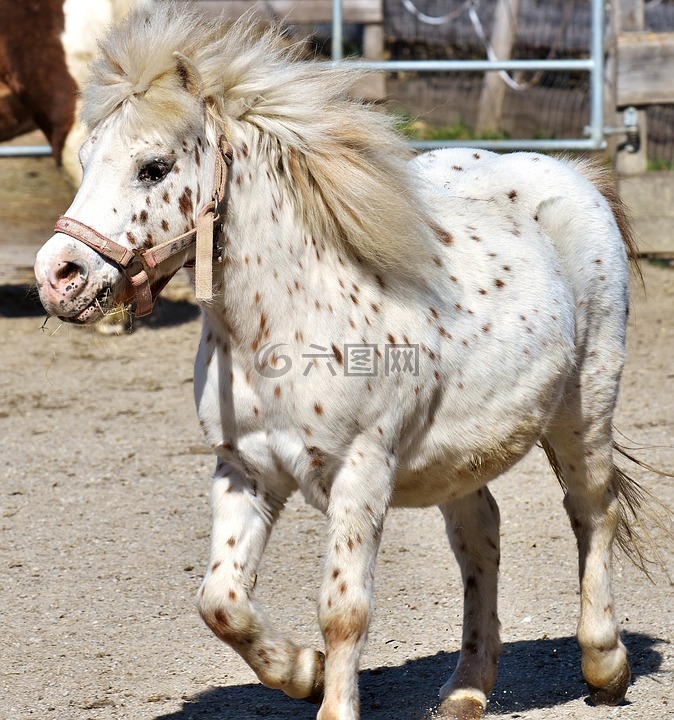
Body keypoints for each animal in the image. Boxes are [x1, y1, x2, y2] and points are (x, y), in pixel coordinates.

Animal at [34, 5, 652, 720]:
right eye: (84, 159)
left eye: (154, 167)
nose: (57, 275)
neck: (279, 333)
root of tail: (574, 175)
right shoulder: (245, 471)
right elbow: (221, 602)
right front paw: (303, 671)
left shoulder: (361, 475)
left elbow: (344, 611)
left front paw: (326, 689)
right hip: (462, 458)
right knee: (481, 538)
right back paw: (466, 687)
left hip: (584, 409)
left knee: (592, 510)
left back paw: (604, 665)